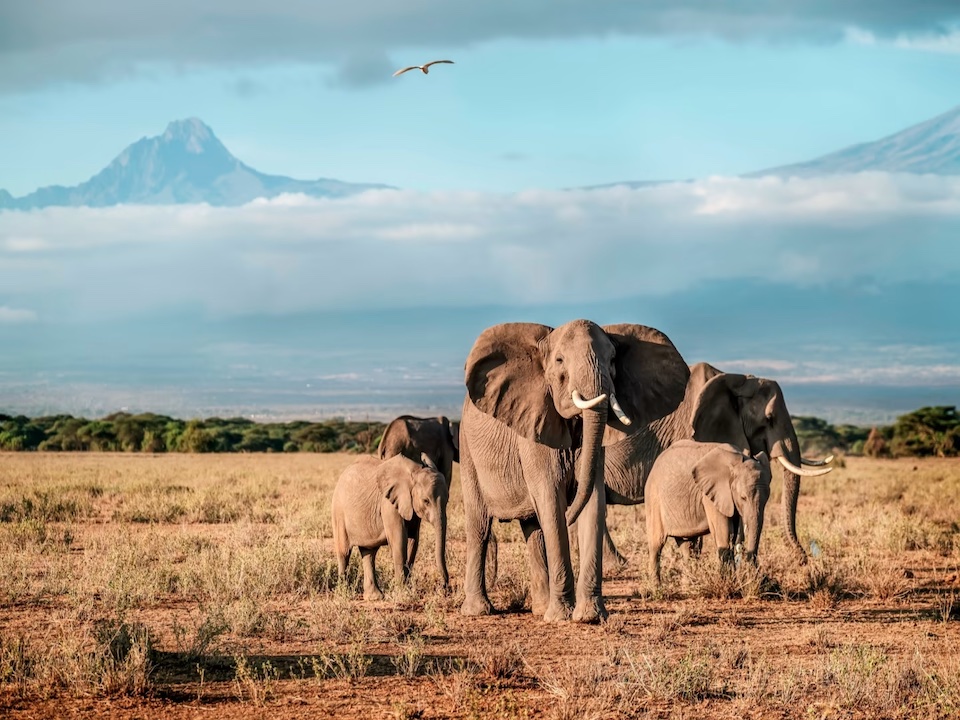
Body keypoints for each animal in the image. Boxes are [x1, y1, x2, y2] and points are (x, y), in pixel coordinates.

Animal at [330, 452, 450, 600]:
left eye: (447, 500)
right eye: (426, 501)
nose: (444, 587)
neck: (414, 471)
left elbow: (413, 541)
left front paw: (407, 589)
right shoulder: (388, 504)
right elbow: (399, 541)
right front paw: (402, 593)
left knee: (369, 553)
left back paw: (374, 597)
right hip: (338, 511)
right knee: (344, 552)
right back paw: (344, 594)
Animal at [460, 318, 688, 620]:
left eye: (613, 360)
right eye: (559, 361)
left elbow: (592, 499)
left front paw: (590, 616)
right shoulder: (534, 428)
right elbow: (551, 500)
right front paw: (561, 617)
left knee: (534, 529)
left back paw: (540, 609)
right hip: (467, 450)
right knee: (480, 525)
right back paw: (479, 611)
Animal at [644, 438, 772, 584]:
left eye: (767, 499)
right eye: (743, 497)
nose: (755, 575)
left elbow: (733, 535)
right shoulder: (711, 494)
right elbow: (724, 533)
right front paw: (727, 581)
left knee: (687, 545)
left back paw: (690, 584)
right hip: (654, 498)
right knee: (656, 544)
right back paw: (657, 587)